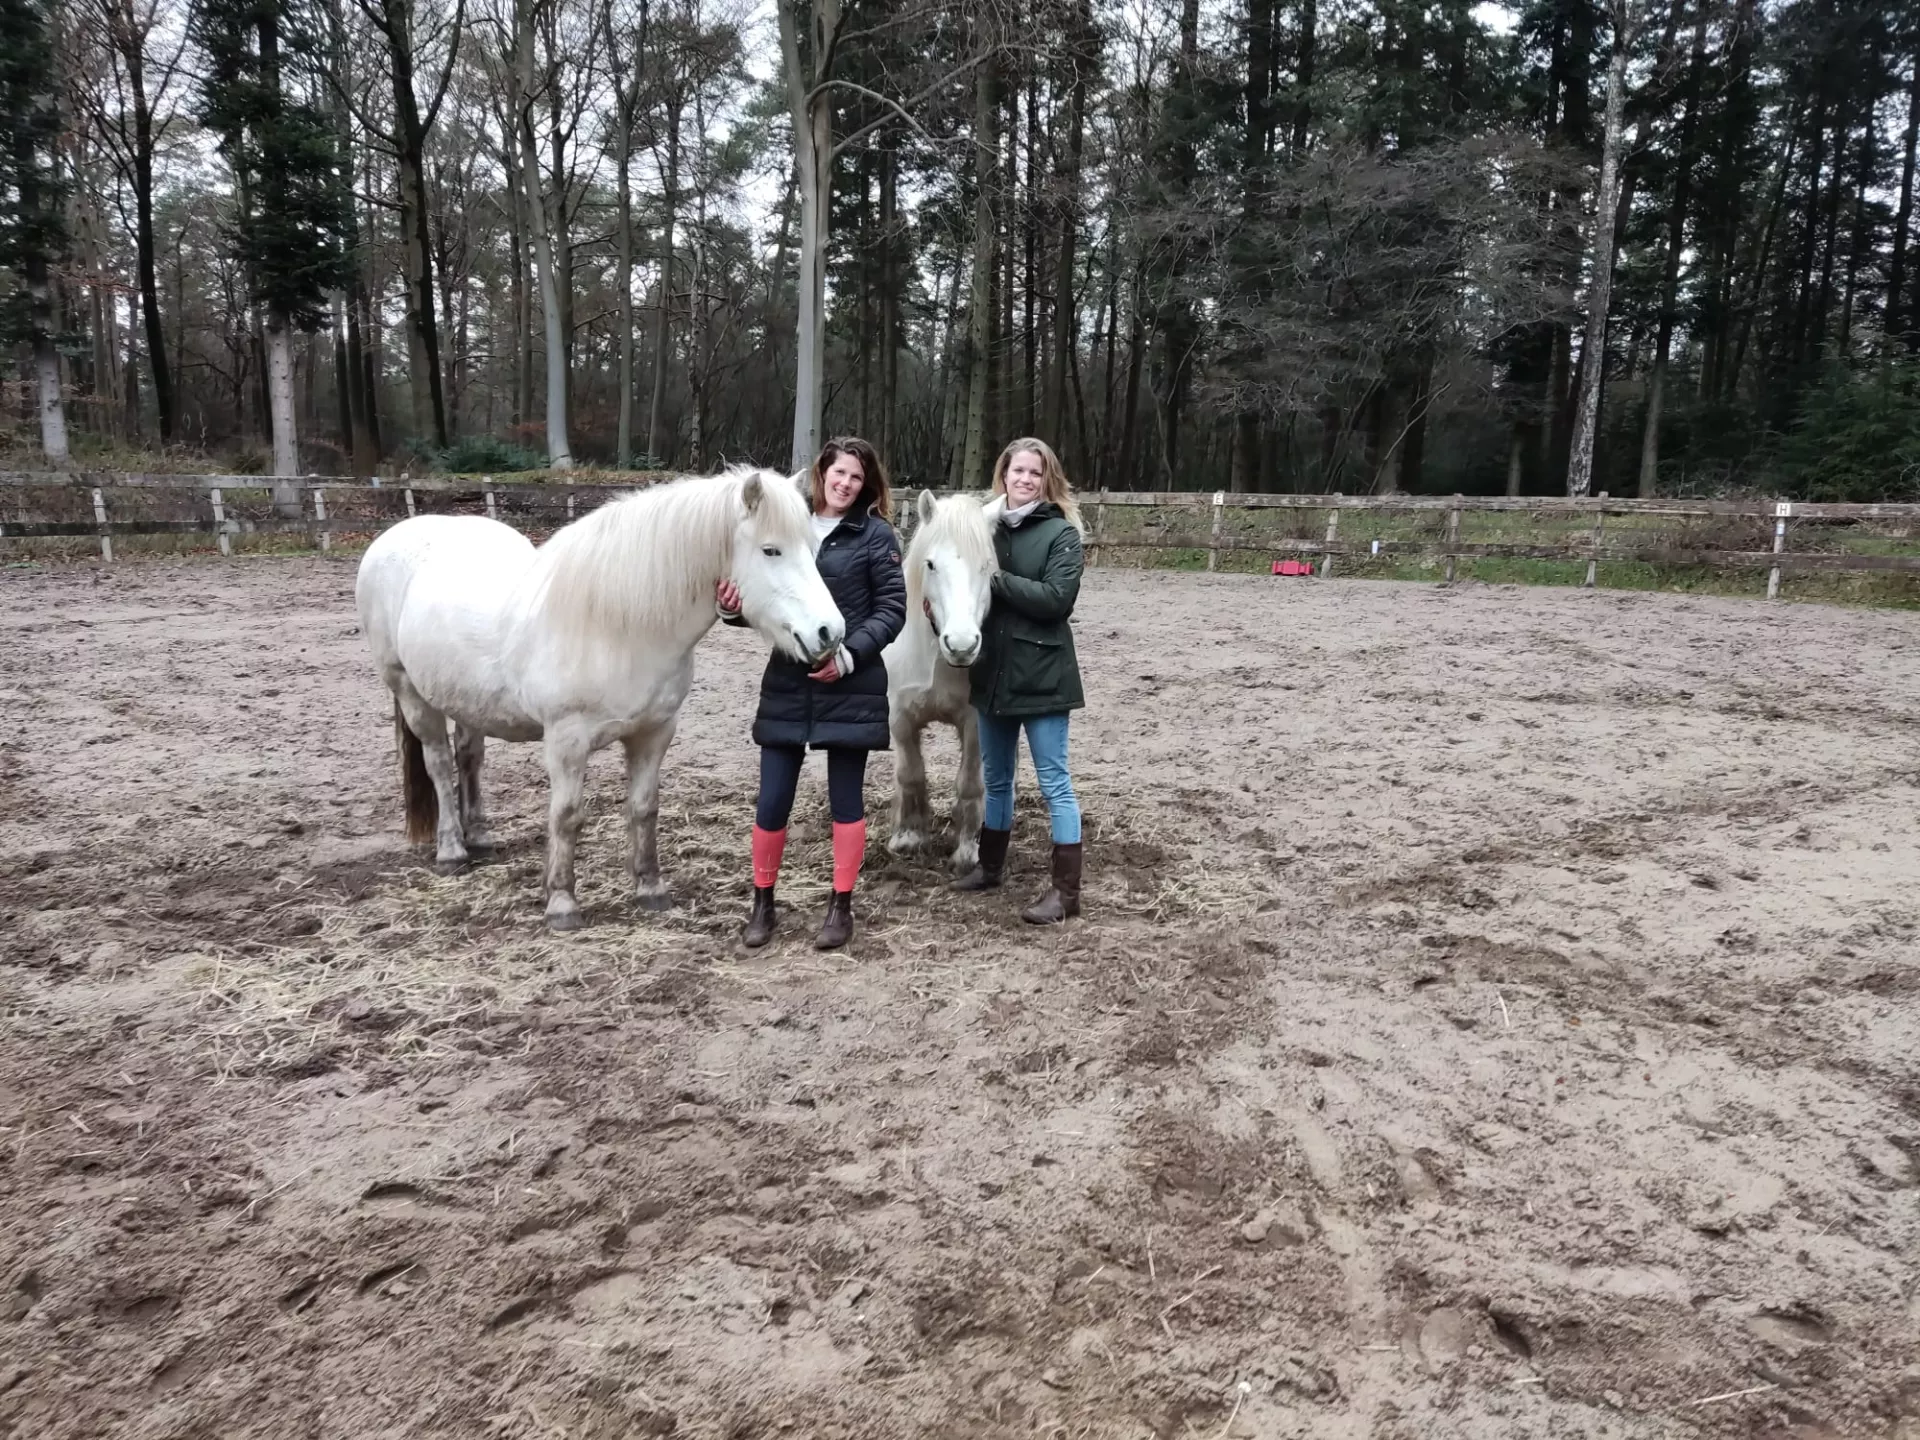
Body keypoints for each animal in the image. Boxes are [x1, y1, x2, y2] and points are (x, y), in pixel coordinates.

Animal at [354, 465, 845, 931]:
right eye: (770, 550)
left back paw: (479, 838)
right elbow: (567, 815)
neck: (617, 626)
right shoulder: (566, 741)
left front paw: (650, 887)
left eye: (812, 547)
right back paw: (453, 850)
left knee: (469, 758)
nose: (829, 633)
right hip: (411, 692)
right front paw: (561, 903)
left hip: (466, 701)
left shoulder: (654, 733)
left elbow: (644, 808)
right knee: (438, 765)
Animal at [883, 489, 1003, 873]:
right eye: (931, 564)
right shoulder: (900, 718)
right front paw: (909, 835)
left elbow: (970, 784)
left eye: (987, 566)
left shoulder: (975, 723)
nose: (961, 645)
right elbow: (910, 774)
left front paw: (968, 848)